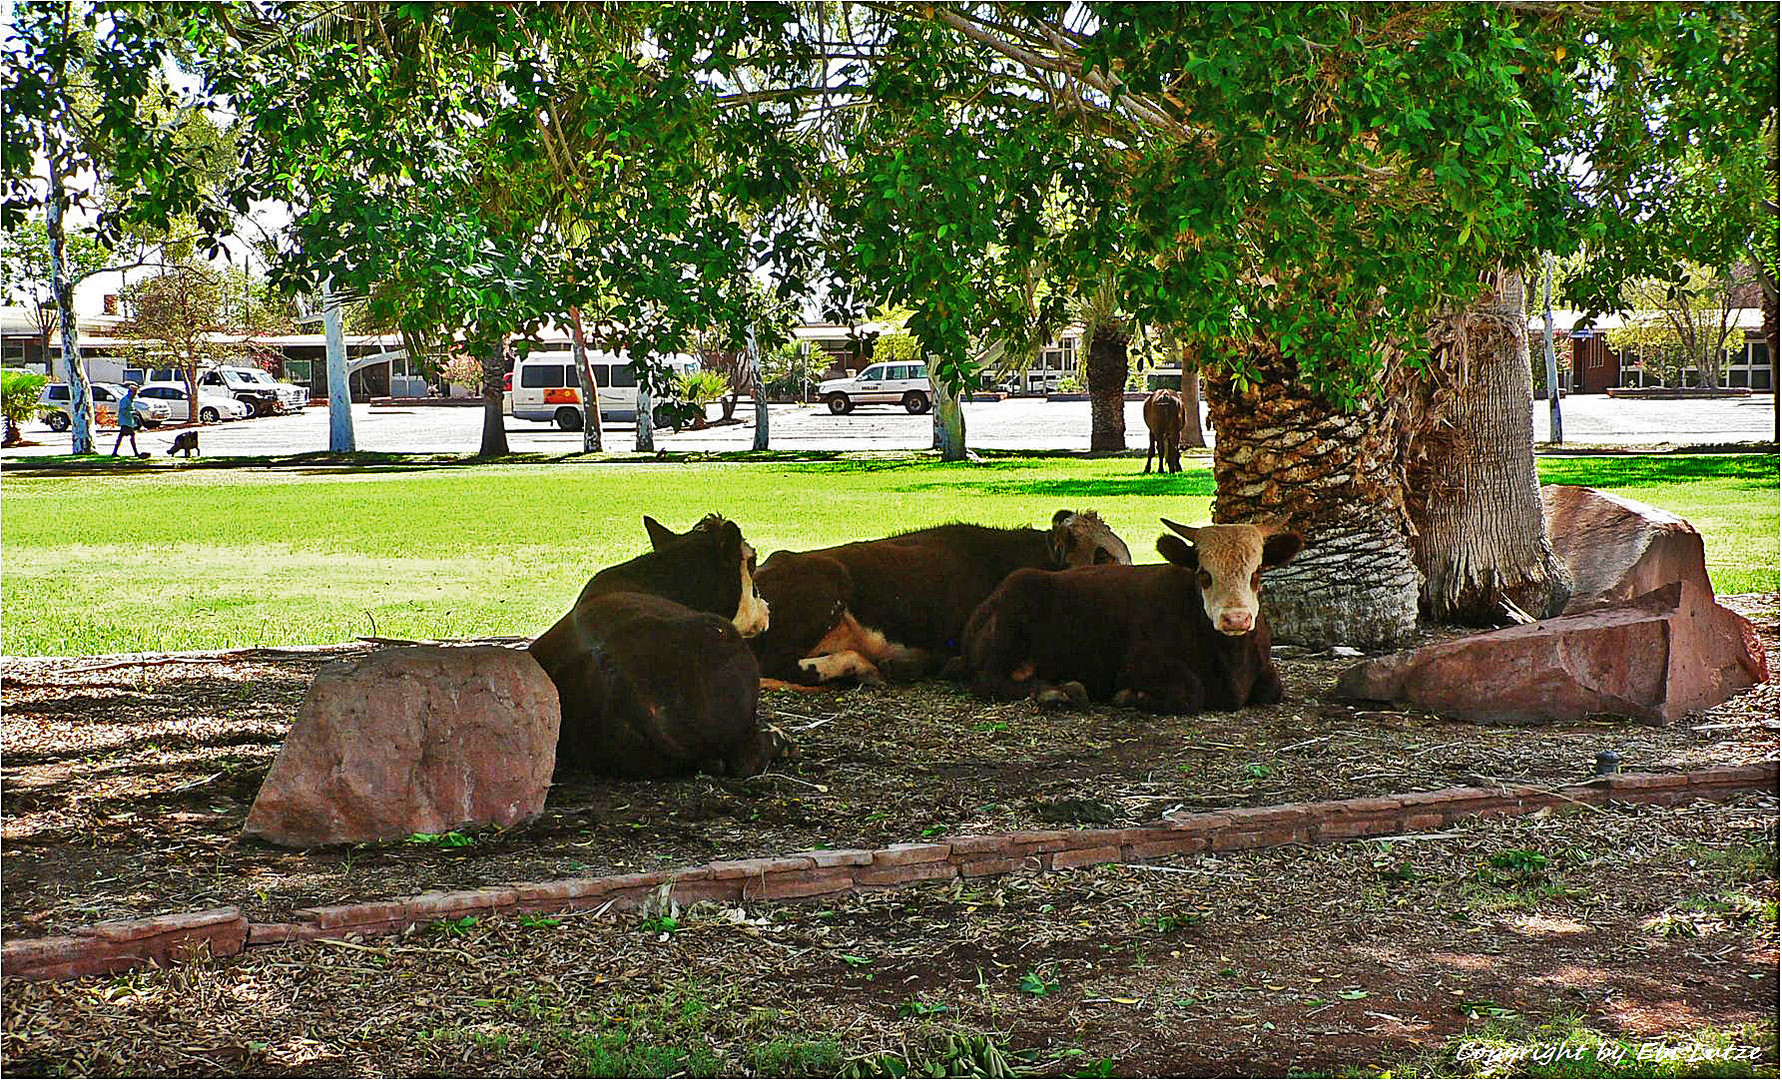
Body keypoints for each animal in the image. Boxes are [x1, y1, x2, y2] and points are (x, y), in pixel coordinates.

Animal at [969, 520, 1304, 716]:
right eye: (1203, 573)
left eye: (1257, 573)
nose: (1235, 619)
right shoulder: (1138, 665)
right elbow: (1190, 692)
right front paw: (1129, 696)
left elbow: (1274, 688)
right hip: (1007, 635)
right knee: (987, 679)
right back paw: (1058, 692)